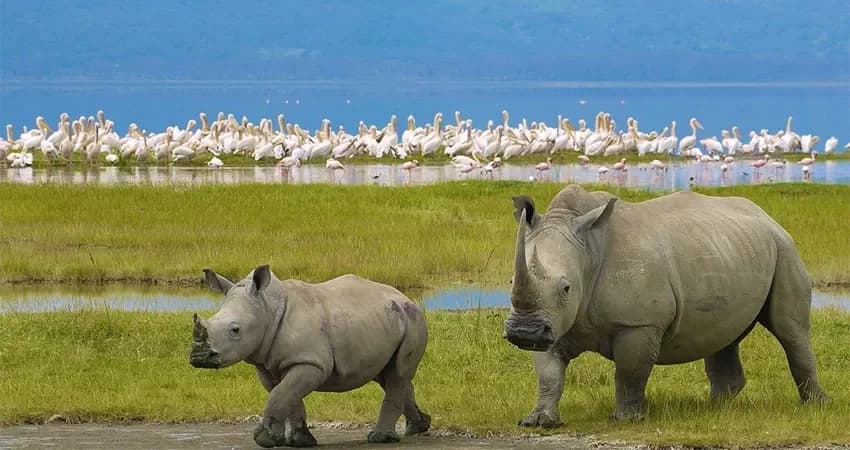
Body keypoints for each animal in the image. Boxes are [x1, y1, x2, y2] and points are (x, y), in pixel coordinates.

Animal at [190, 265, 431, 448]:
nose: (198, 357)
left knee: (398, 374)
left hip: (413, 320)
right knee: (388, 375)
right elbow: (287, 396)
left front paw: (264, 440)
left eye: (235, 330)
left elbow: (280, 394)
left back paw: (380, 438)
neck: (267, 309)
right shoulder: (268, 365)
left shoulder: (310, 362)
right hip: (387, 320)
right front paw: (299, 441)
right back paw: (418, 427)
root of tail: (404, 297)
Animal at [503, 184, 828, 427]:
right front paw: (539, 422)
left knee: (790, 331)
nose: (523, 332)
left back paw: (815, 405)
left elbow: (630, 373)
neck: (588, 252)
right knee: (724, 334)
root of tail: (767, 216)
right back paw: (714, 407)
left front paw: (627, 419)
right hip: (731, 250)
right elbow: (548, 373)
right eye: (510, 281)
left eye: (566, 288)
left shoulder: (639, 323)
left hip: (785, 249)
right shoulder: (553, 322)